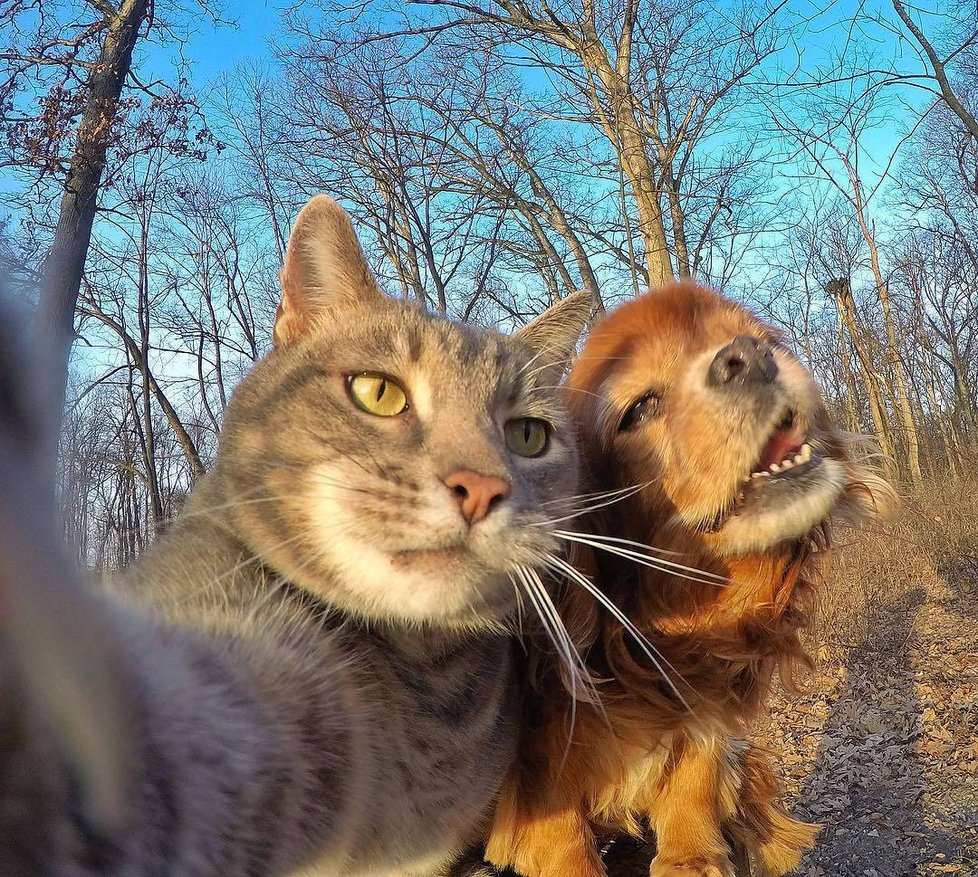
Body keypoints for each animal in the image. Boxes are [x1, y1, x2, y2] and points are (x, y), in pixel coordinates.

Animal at [484, 280, 896, 876]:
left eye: (762, 336)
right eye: (640, 408)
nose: (749, 355)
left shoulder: (705, 712)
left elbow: (696, 779)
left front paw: (693, 857)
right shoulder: (537, 768)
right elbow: (565, 842)